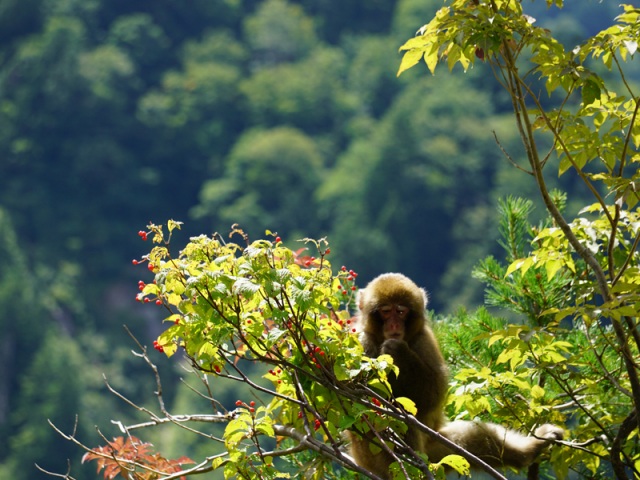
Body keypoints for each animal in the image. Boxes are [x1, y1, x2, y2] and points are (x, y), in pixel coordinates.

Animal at [348, 272, 564, 478]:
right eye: (385, 311)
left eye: (401, 311)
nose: (394, 326)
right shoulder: (362, 341)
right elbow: (360, 403)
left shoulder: (423, 340)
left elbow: (433, 395)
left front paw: (398, 353)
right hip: (370, 457)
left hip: (439, 449)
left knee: (473, 436)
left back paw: (528, 451)